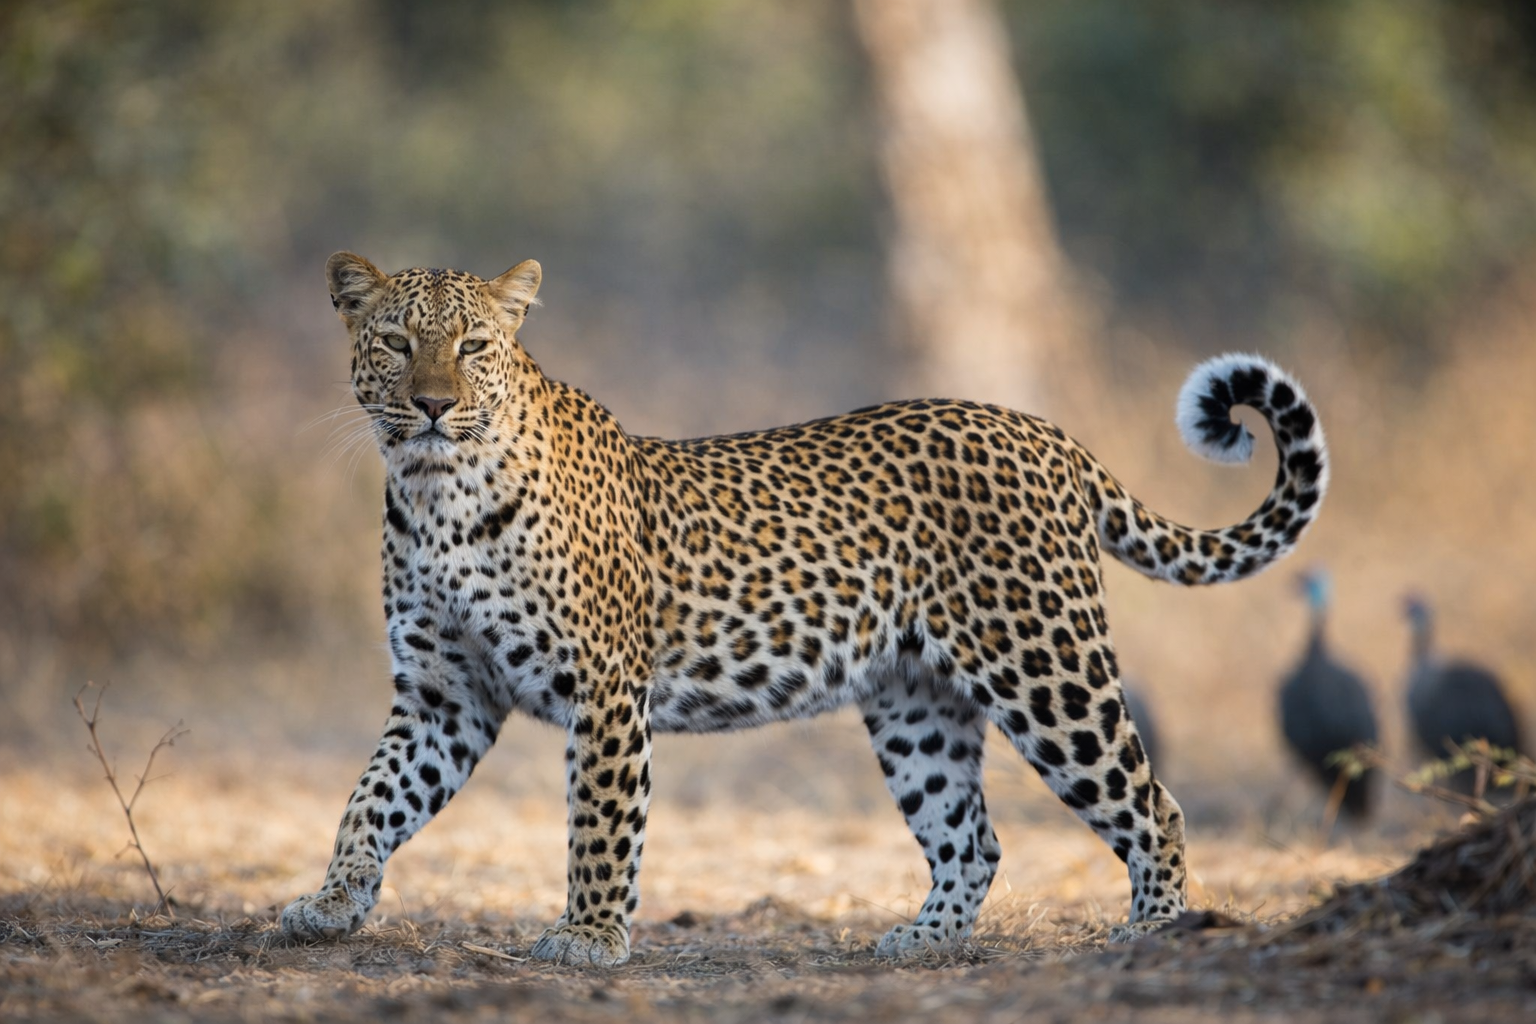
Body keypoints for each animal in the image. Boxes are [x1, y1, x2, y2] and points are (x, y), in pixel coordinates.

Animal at [280, 252, 1329, 966]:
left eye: (473, 347)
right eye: (395, 344)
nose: (430, 405)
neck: (434, 494)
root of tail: (1046, 434)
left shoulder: (606, 688)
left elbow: (599, 822)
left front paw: (589, 935)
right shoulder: (444, 695)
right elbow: (369, 801)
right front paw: (328, 907)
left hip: (1045, 665)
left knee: (1153, 803)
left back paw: (1155, 931)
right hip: (915, 703)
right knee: (972, 837)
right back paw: (923, 941)